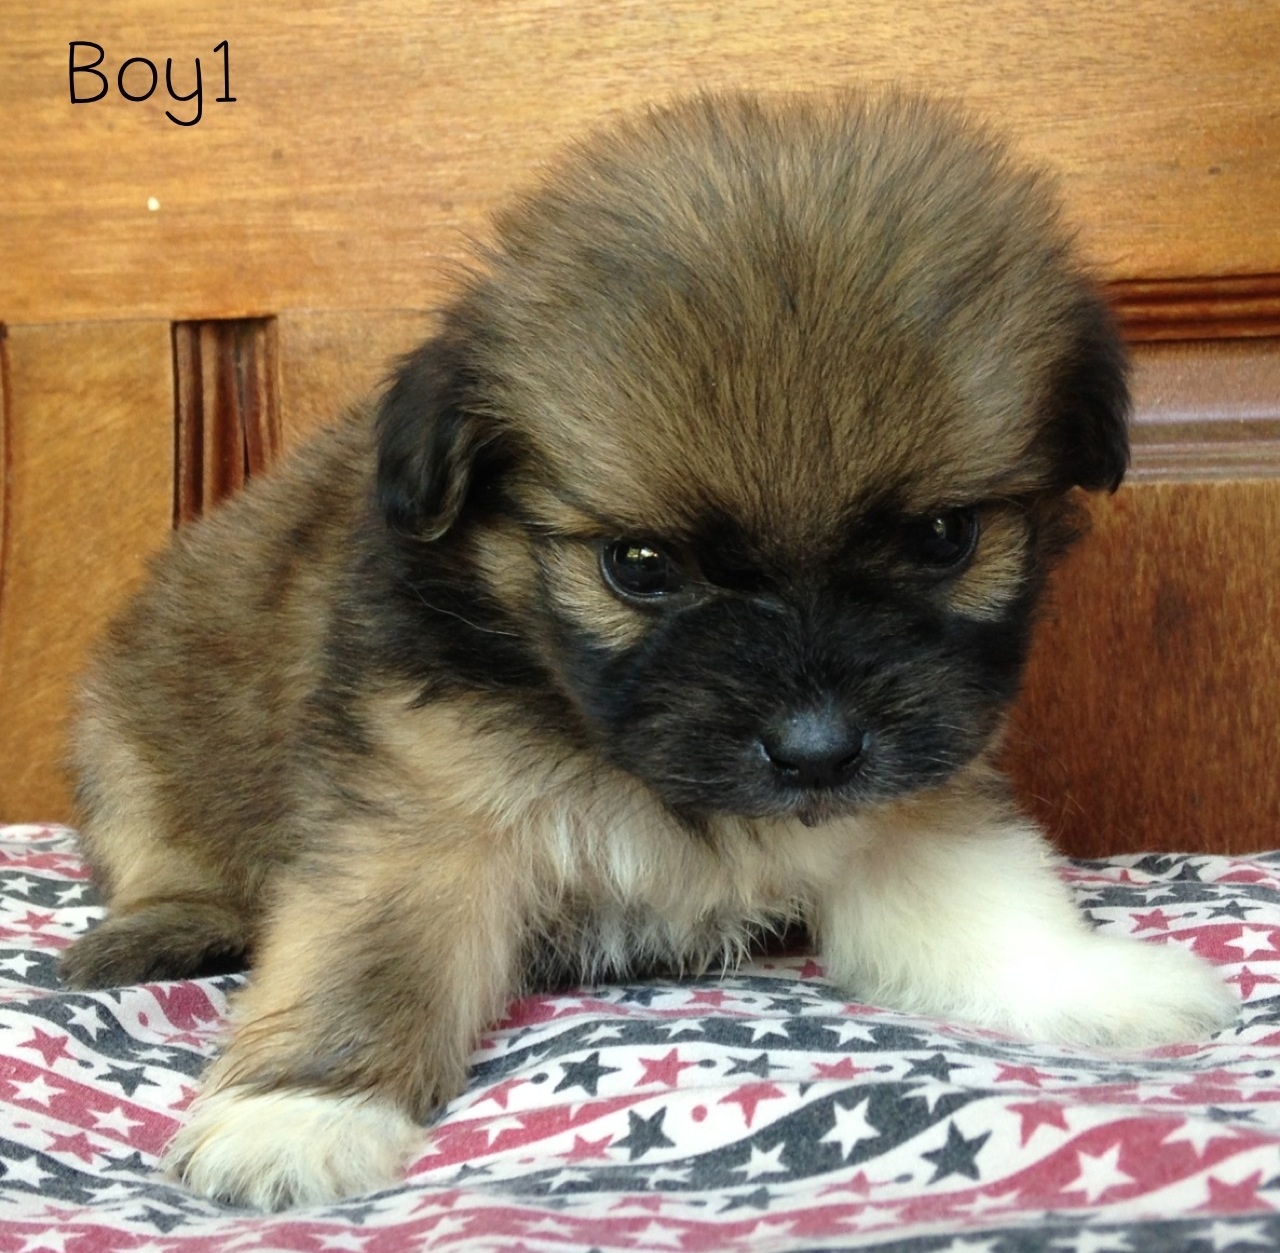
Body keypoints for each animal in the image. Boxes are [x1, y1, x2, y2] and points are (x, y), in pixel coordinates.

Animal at [61, 90, 1235, 1209]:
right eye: (637, 563)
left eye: (945, 536)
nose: (817, 751)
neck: (624, 758)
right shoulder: (417, 815)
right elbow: (370, 956)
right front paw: (302, 1112)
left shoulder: (907, 797)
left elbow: (986, 901)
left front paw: (1092, 981)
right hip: (121, 735)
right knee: (158, 846)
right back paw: (163, 927)